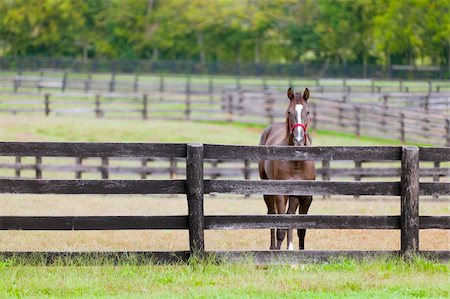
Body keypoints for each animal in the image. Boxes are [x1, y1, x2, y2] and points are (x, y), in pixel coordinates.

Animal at [258, 87, 314, 251]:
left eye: (307, 112)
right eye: (289, 112)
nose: (299, 140)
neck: (296, 162)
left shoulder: (306, 197)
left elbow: (301, 229)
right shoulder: (280, 195)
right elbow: (280, 228)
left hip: (294, 196)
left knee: (291, 215)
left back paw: (290, 247)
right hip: (268, 189)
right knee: (271, 214)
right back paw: (272, 248)